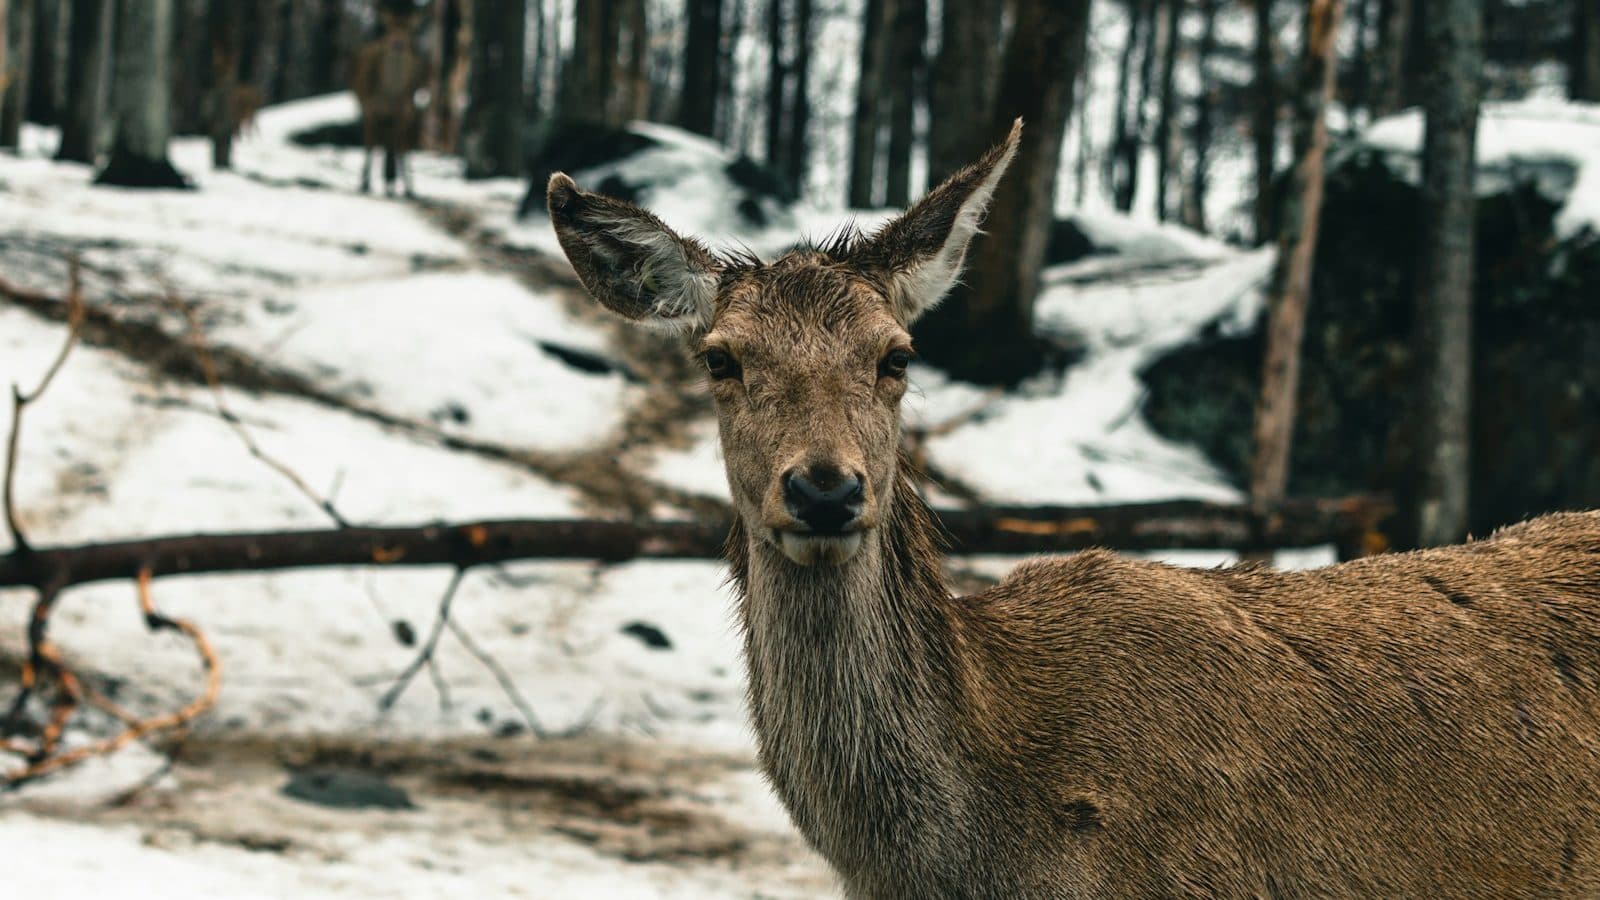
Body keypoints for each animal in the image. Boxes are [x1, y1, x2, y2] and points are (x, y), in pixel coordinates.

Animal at [351, 5, 430, 198]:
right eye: (389, 27)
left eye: (410, 29)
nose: (398, 44)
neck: (388, 94)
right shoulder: (369, 107)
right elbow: (370, 144)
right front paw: (364, 184)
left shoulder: (403, 111)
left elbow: (399, 146)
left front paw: (400, 185)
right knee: (377, 140)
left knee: (396, 144)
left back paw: (397, 183)